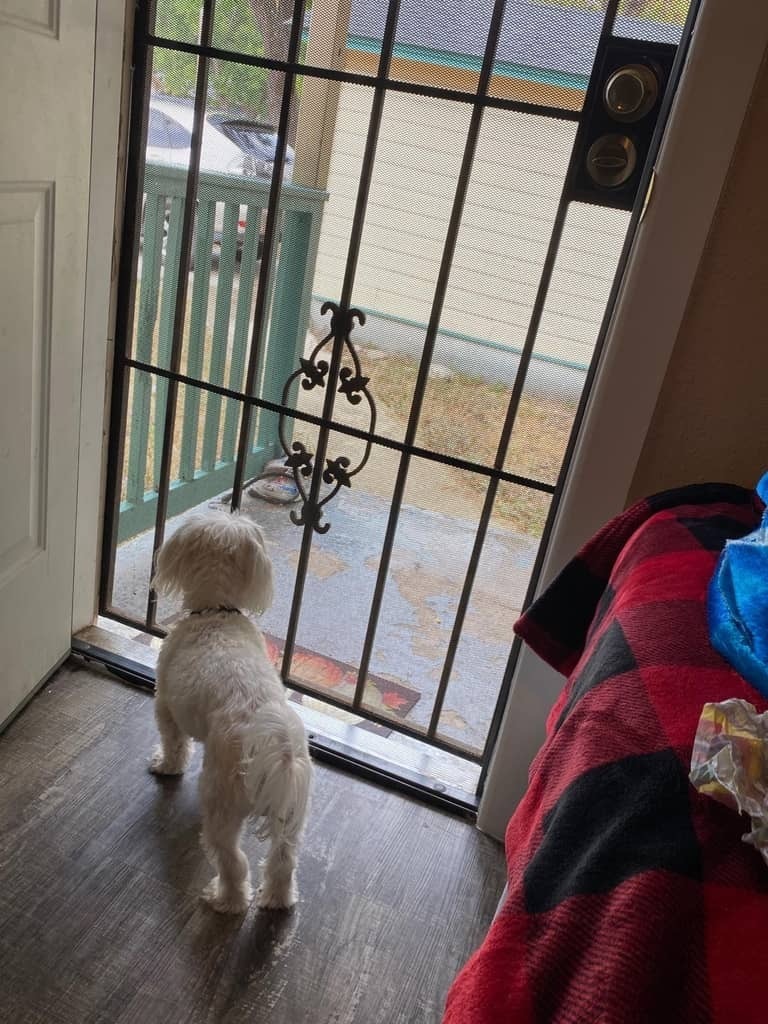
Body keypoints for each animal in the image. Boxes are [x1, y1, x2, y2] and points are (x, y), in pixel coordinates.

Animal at [149, 509, 312, 913]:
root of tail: (278, 751)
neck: (216, 613)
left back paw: (224, 899)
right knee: (284, 858)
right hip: (292, 815)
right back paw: (277, 898)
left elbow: (174, 743)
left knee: (232, 859)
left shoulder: (166, 703)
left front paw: (166, 766)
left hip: (221, 800)